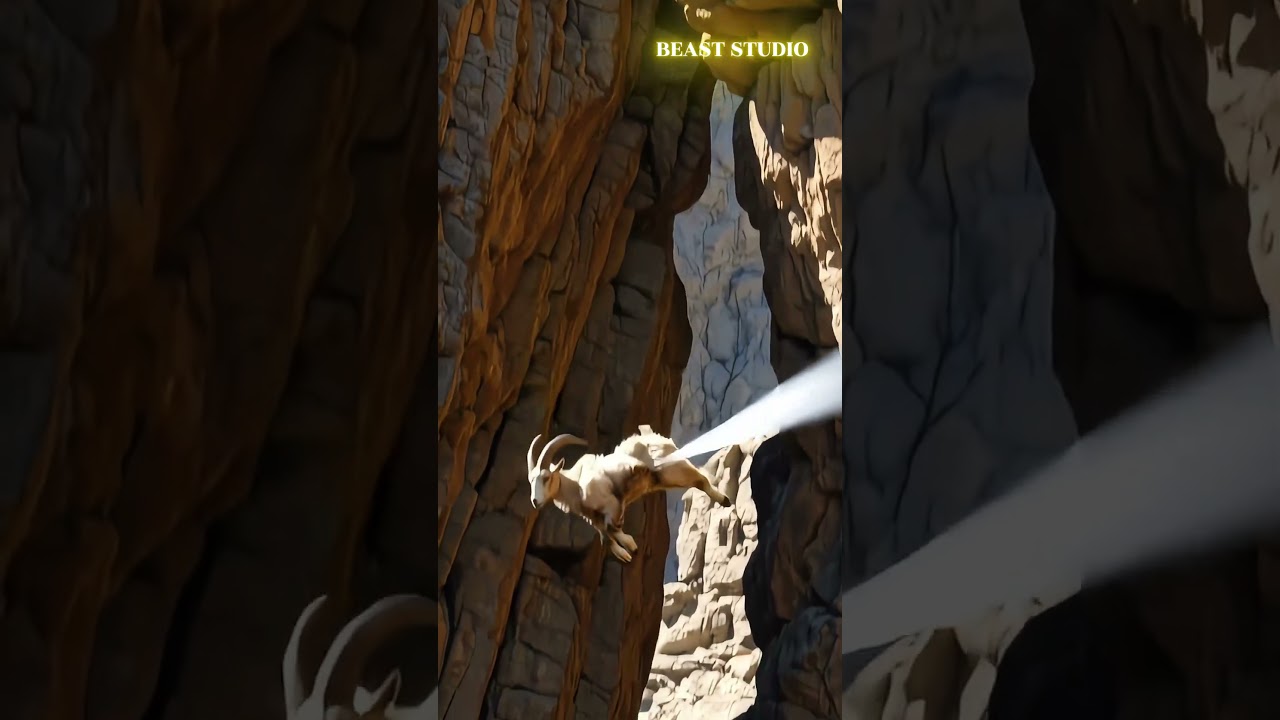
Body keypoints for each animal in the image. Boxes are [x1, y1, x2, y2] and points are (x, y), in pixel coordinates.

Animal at [526, 424, 732, 563]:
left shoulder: (613, 505)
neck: (577, 485)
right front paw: (626, 553)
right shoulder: (594, 519)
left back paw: (725, 500)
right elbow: (605, 537)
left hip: (674, 471)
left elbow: (612, 528)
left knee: (701, 479)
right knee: (699, 481)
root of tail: (658, 438)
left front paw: (630, 545)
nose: (535, 501)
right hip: (666, 479)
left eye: (546, 477)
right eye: (531, 481)